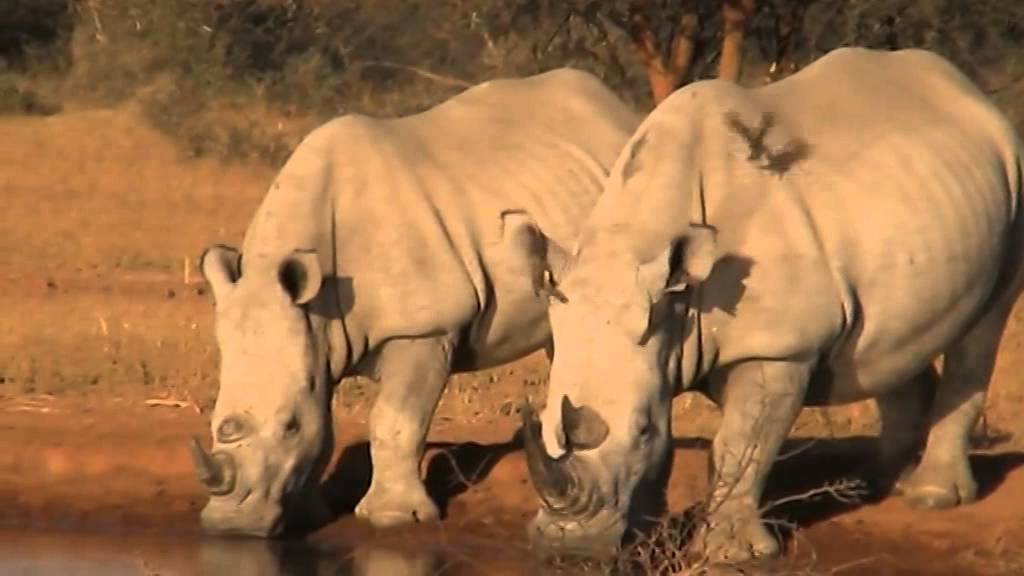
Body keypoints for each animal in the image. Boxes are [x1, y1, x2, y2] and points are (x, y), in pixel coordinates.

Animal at [191, 68, 640, 536]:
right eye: (214, 423)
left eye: (288, 427)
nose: (231, 526)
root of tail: (618, 110)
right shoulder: (315, 337)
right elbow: (325, 428)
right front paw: (307, 517)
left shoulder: (423, 329)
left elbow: (395, 422)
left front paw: (394, 517)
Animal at [515, 47, 1024, 562]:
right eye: (542, 424)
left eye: (639, 431)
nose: (567, 550)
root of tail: (967, 89)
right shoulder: (659, 335)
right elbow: (677, 440)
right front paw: (648, 540)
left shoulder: (778, 347)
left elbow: (741, 443)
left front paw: (733, 556)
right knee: (891, 343)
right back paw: (874, 485)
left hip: (1014, 172)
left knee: (982, 331)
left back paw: (932, 497)